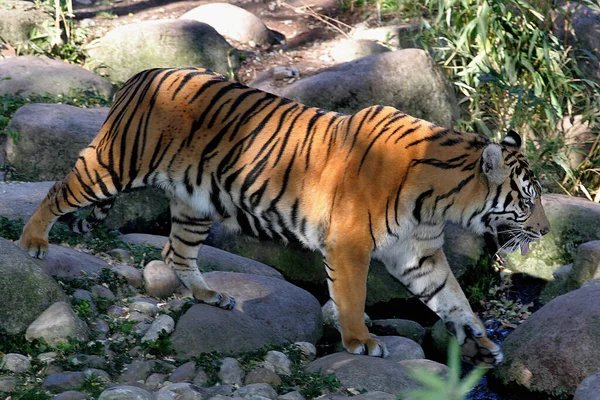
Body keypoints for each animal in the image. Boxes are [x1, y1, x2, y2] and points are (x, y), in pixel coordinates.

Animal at [21, 67, 552, 368]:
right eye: (528, 201)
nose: (546, 231)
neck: (440, 200)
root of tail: (139, 76)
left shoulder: (418, 255)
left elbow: (454, 300)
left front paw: (482, 344)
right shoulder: (350, 244)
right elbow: (353, 297)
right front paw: (361, 343)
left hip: (195, 203)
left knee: (175, 252)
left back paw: (211, 296)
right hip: (115, 165)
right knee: (59, 189)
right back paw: (32, 243)